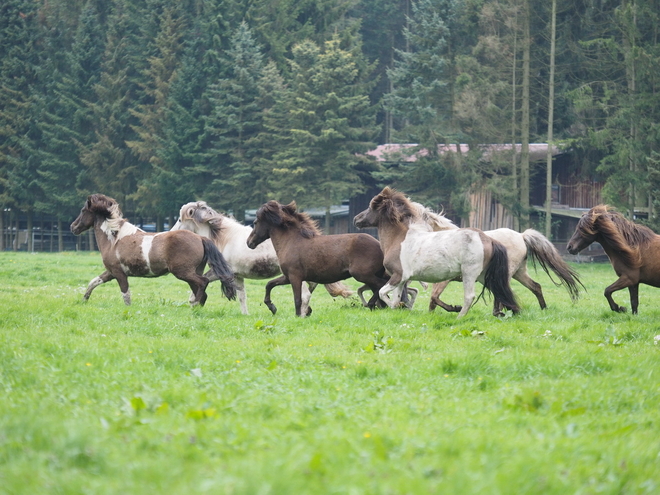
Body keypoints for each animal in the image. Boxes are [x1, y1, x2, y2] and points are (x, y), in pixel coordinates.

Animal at [71, 194, 236, 306]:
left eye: (83, 210)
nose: (73, 227)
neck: (114, 240)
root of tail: (200, 238)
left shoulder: (119, 273)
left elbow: (126, 295)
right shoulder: (111, 272)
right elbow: (93, 282)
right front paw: (84, 300)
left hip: (183, 272)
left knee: (203, 283)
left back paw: (194, 305)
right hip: (192, 272)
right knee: (201, 290)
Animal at [173, 202, 354, 316]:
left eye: (180, 219)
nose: (171, 233)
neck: (226, 237)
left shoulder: (221, 272)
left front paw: (193, 302)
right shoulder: (237, 276)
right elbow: (242, 296)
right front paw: (245, 315)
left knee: (305, 295)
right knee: (311, 290)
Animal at [246, 200, 392, 316]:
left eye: (255, 222)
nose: (249, 242)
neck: (291, 241)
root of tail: (380, 245)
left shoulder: (295, 277)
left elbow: (297, 299)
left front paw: (299, 315)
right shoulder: (288, 277)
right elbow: (269, 284)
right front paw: (272, 307)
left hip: (362, 274)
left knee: (381, 285)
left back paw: (372, 304)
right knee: (379, 287)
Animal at [354, 188, 520, 320]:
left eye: (371, 207)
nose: (356, 219)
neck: (398, 240)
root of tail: (487, 238)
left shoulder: (398, 276)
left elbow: (383, 293)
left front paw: (399, 305)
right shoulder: (402, 280)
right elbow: (395, 299)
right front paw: (401, 306)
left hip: (469, 273)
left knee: (469, 297)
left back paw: (459, 317)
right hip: (483, 275)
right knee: (500, 291)